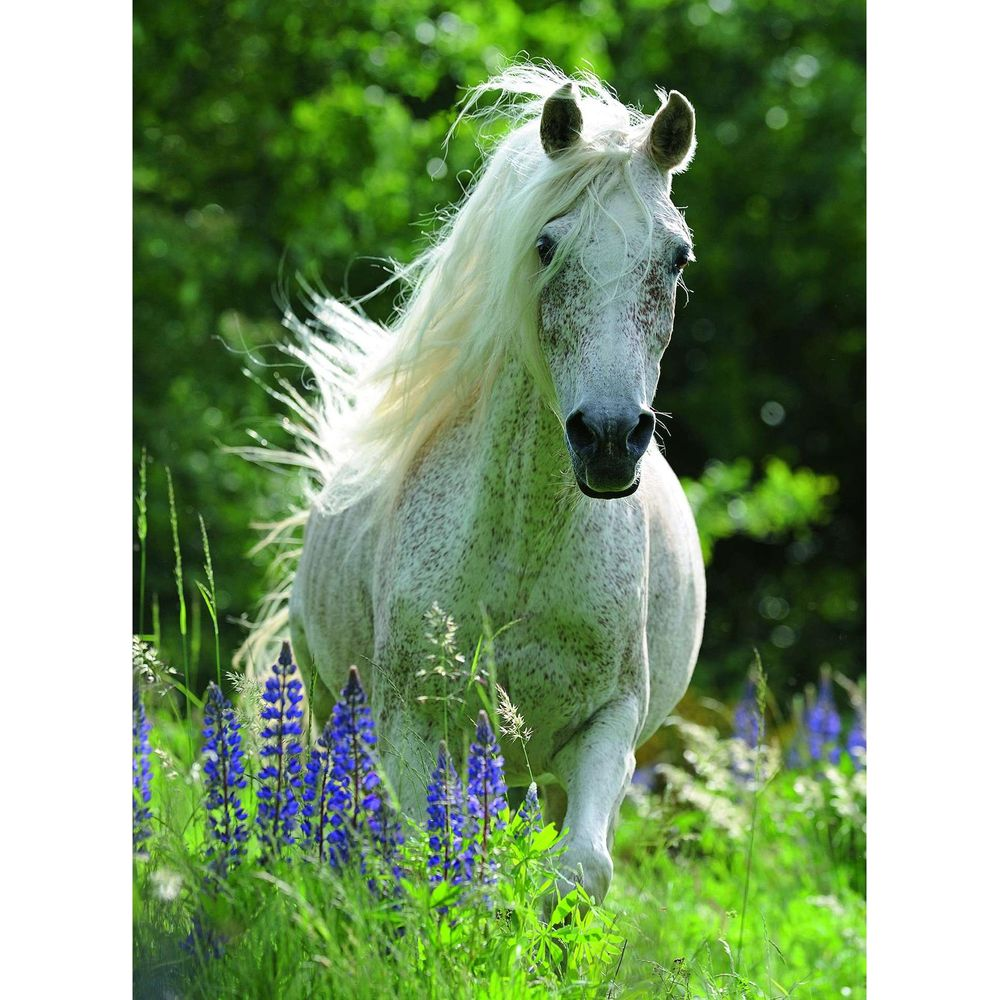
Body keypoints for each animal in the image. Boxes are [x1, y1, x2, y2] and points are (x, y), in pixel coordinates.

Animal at [247, 66, 706, 905]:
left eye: (677, 258)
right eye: (546, 244)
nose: (609, 440)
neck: (522, 549)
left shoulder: (608, 725)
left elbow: (580, 870)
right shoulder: (411, 724)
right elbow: (435, 866)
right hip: (330, 702)